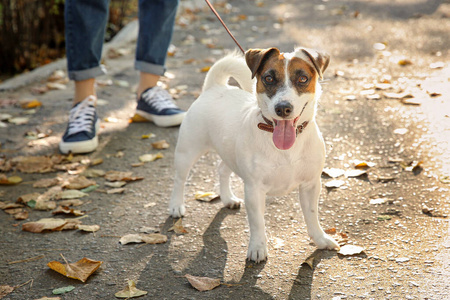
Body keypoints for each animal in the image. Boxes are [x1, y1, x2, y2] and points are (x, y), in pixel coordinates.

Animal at [169, 47, 338, 262]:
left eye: (302, 78)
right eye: (268, 78)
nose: (283, 108)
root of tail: (215, 87)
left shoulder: (311, 185)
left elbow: (312, 215)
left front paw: (320, 239)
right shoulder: (254, 190)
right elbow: (257, 223)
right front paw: (257, 248)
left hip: (228, 152)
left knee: (222, 169)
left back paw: (228, 198)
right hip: (187, 151)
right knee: (179, 179)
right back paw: (176, 205)